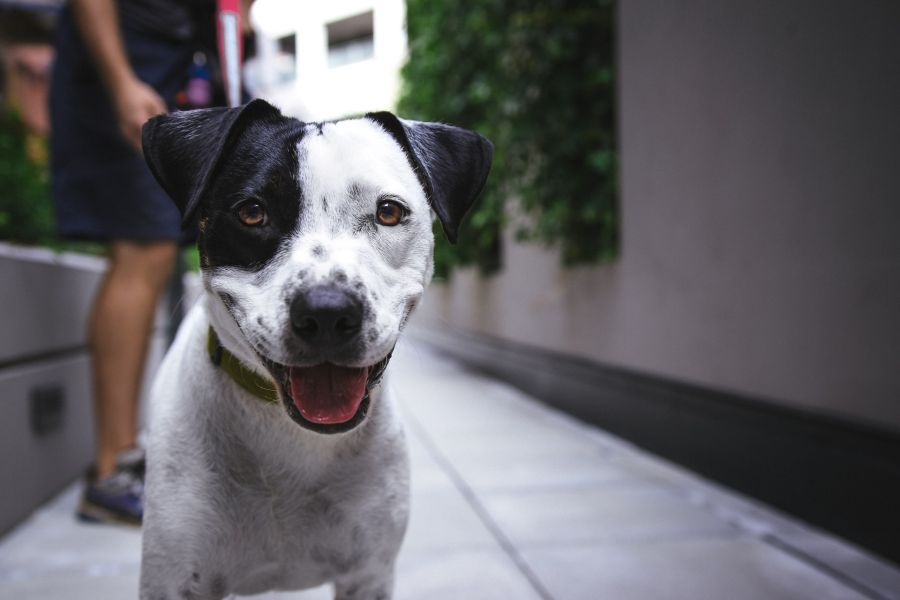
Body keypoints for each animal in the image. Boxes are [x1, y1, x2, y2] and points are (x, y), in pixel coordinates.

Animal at [138, 99, 496, 600]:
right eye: (252, 213)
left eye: (389, 212)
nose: (327, 312)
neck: (290, 437)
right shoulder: (174, 578)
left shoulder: (368, 574)